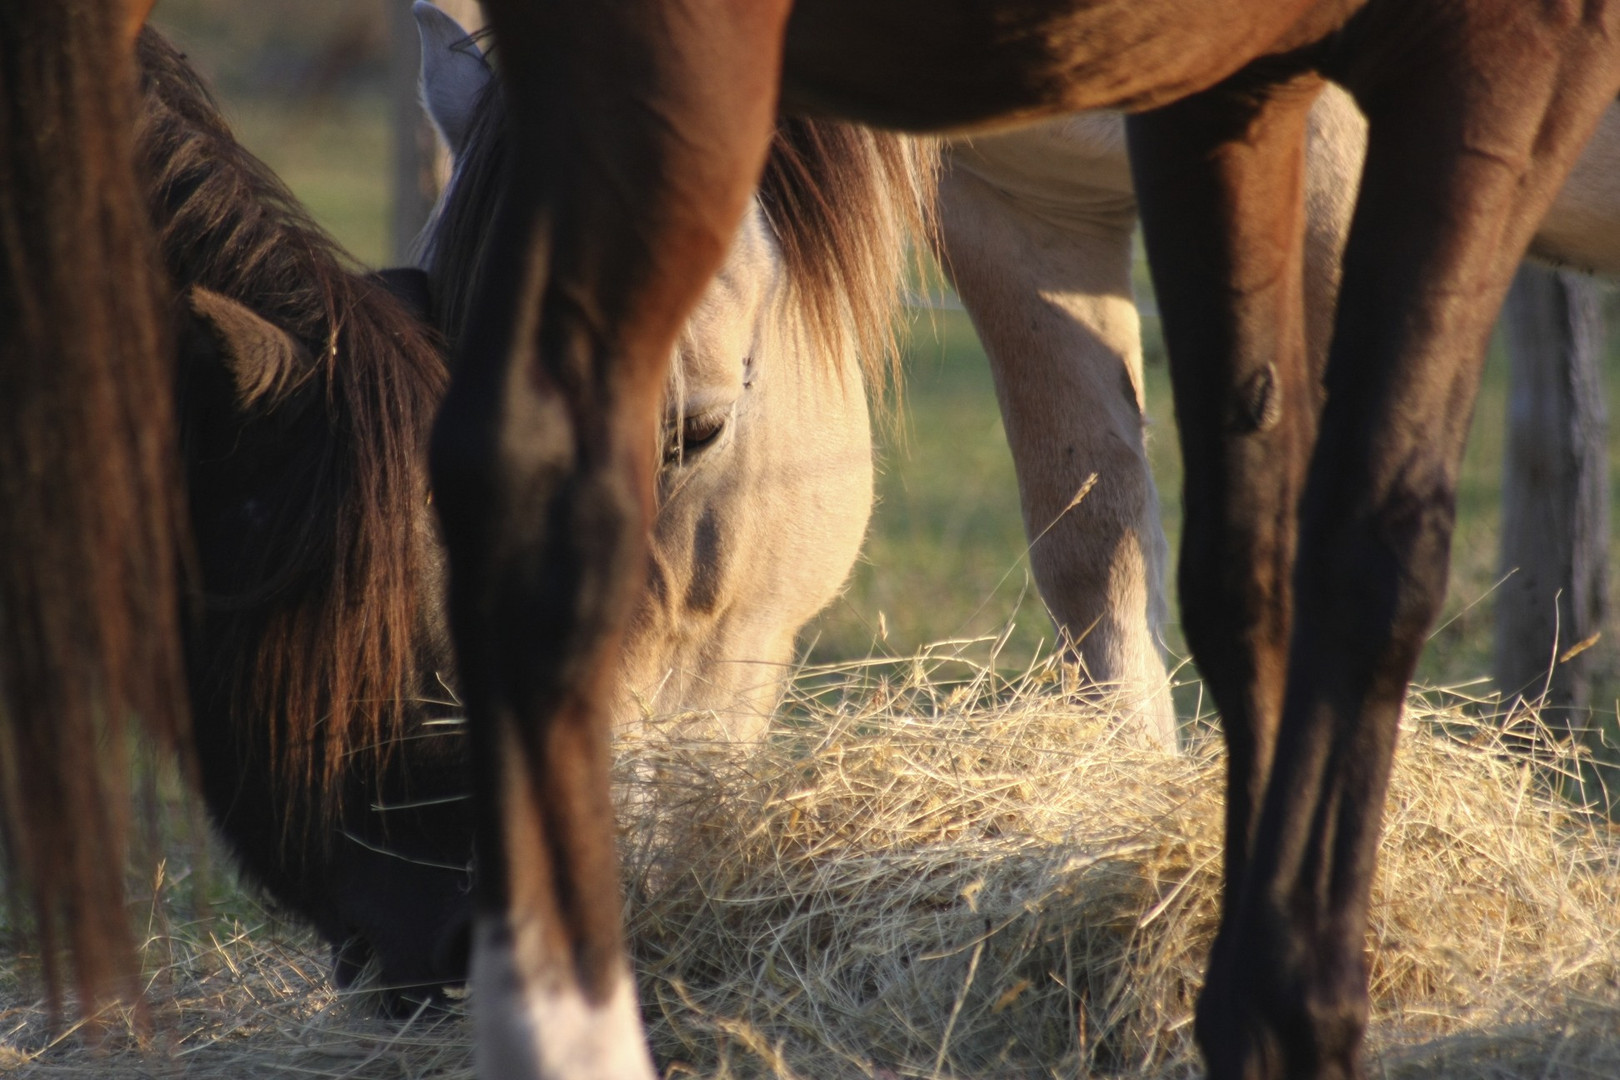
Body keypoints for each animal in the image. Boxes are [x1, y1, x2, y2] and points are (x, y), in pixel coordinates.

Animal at [3, 2, 1620, 1080]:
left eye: (695, 434)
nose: (518, 896)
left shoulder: (1351, 149)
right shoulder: (1018, 213)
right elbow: (1095, 544)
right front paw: (1119, 851)